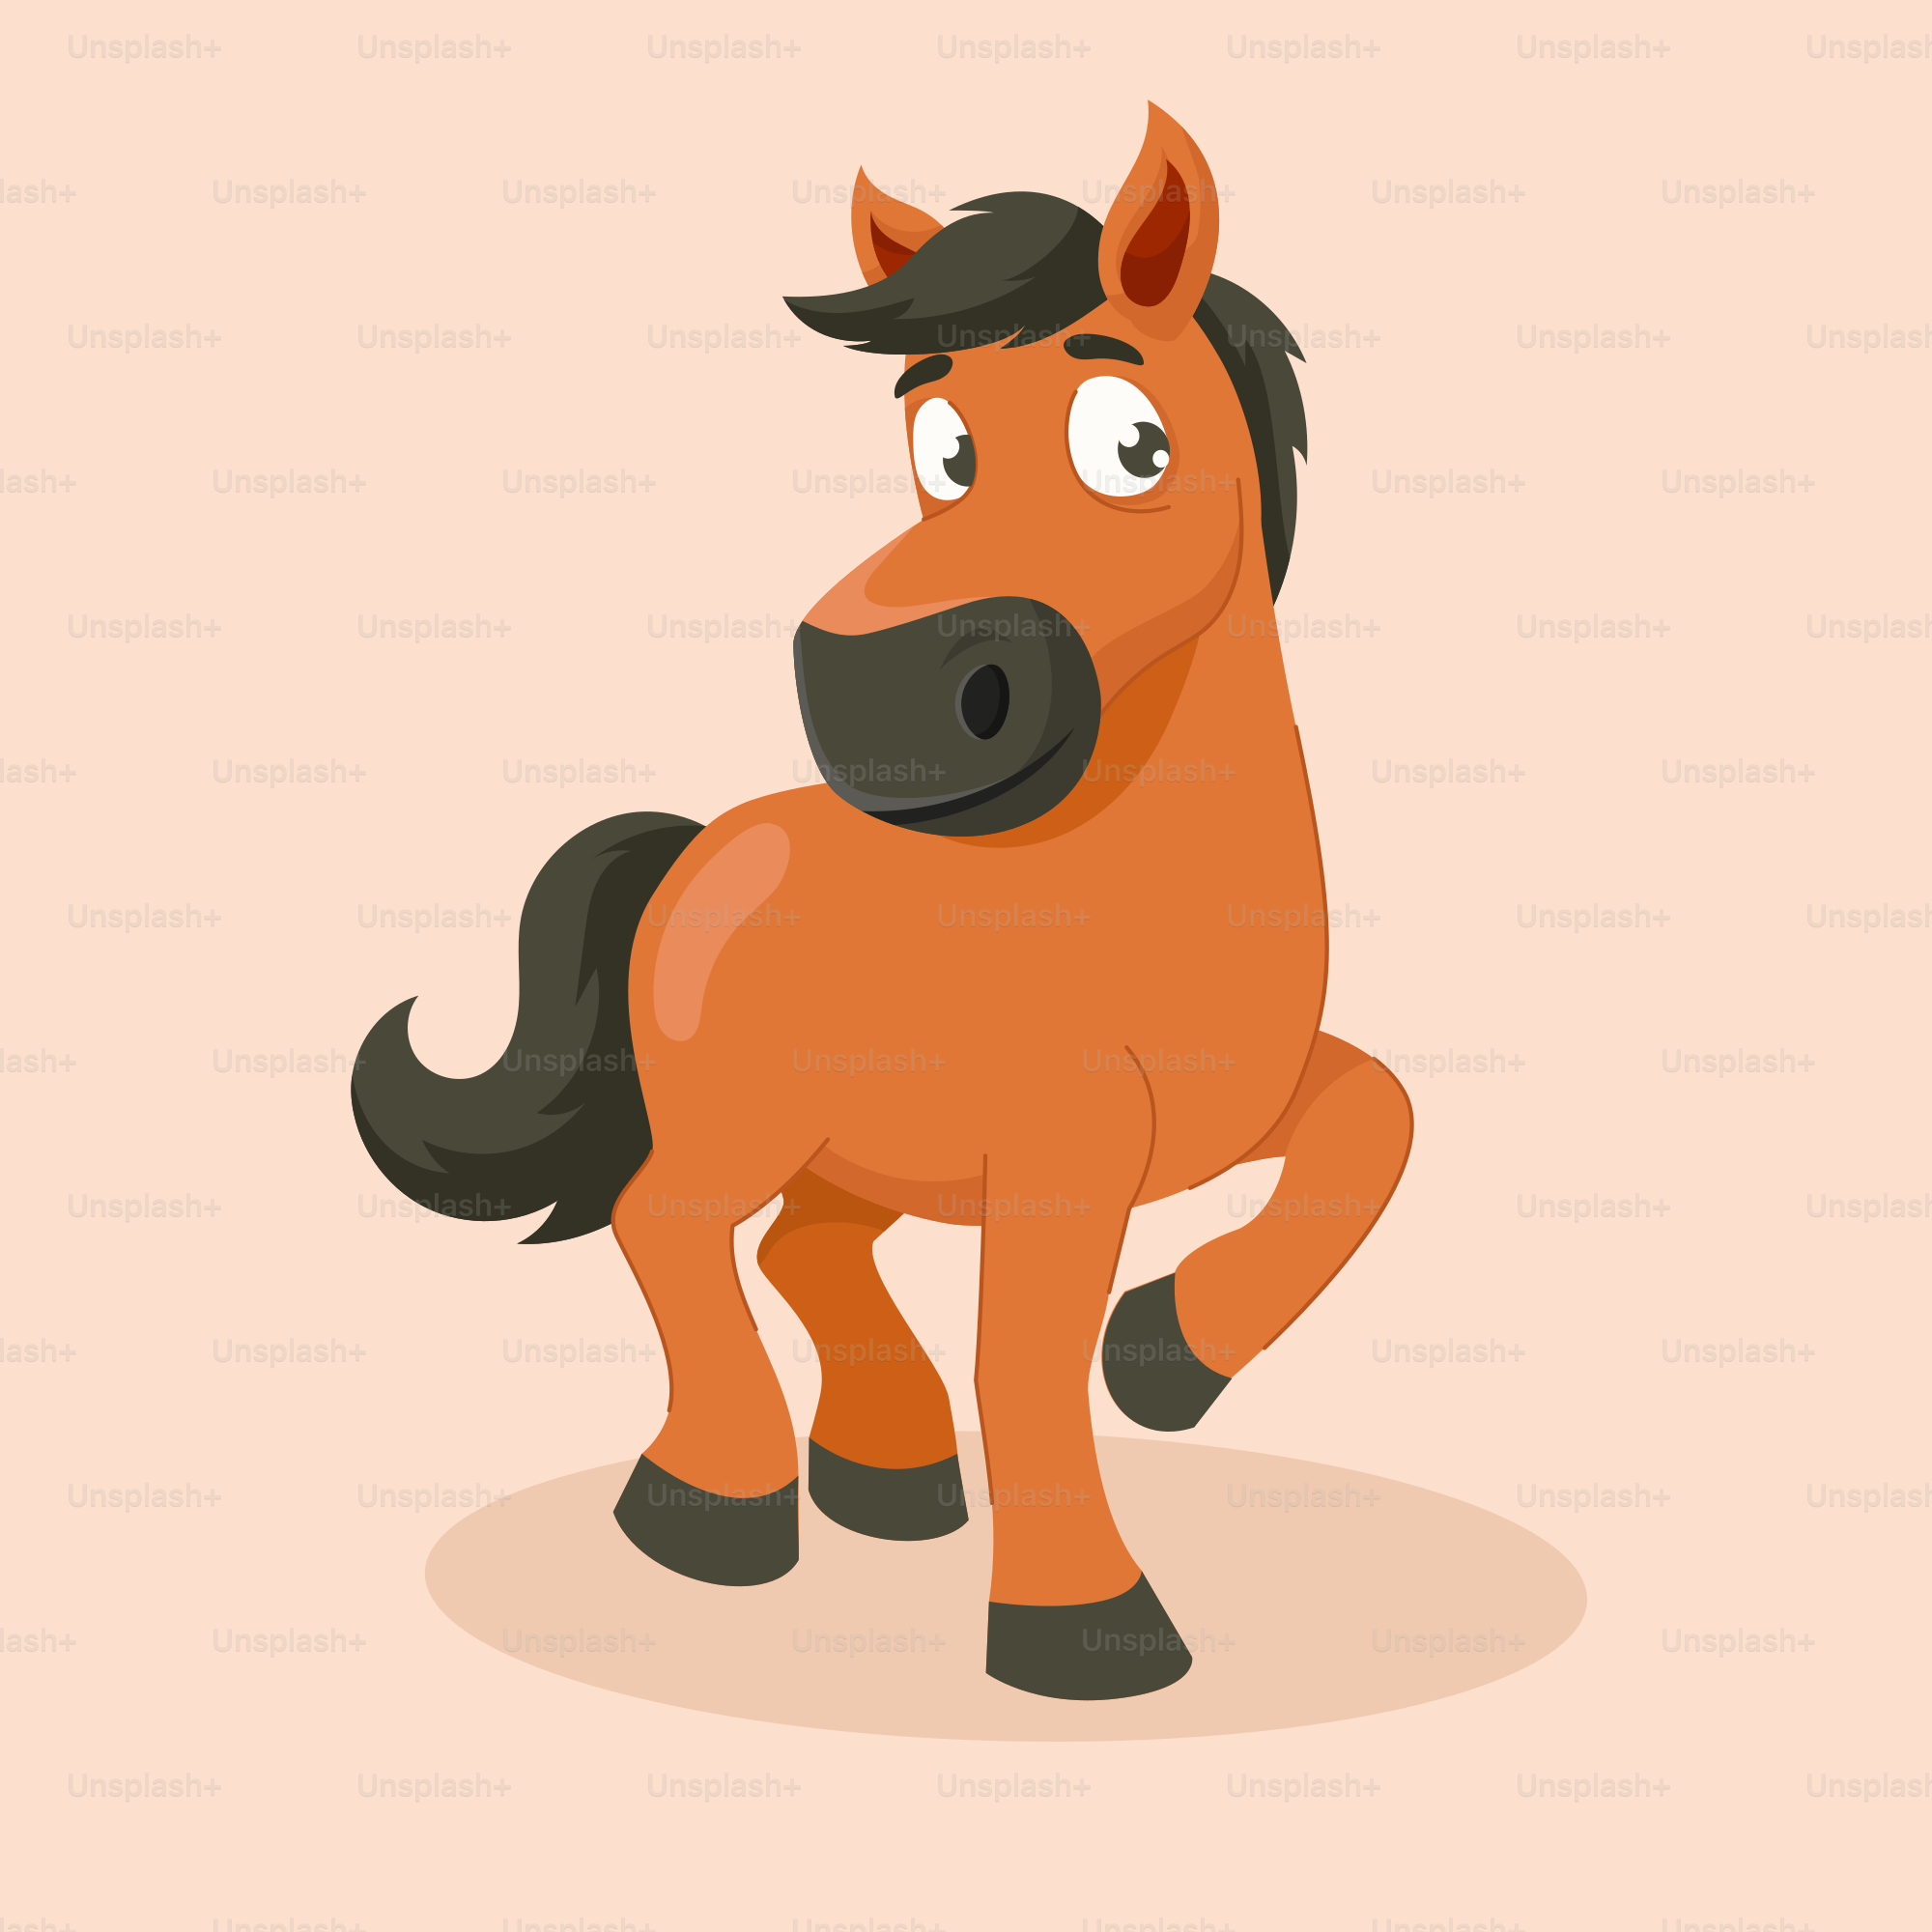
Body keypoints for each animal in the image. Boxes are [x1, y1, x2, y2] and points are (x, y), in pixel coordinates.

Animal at [352, 104, 1414, 1702]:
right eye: (940, 447)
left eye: (1132, 442)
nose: (878, 693)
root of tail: (706, 844)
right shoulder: (1062, 1157)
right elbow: (1022, 1363)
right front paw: (1086, 1623)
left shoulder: (1242, 1103)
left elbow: (1376, 1128)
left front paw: (1169, 1355)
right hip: (741, 1121)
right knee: (671, 1223)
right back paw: (714, 1502)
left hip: (854, 1142)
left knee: (804, 1244)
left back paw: (887, 1473)